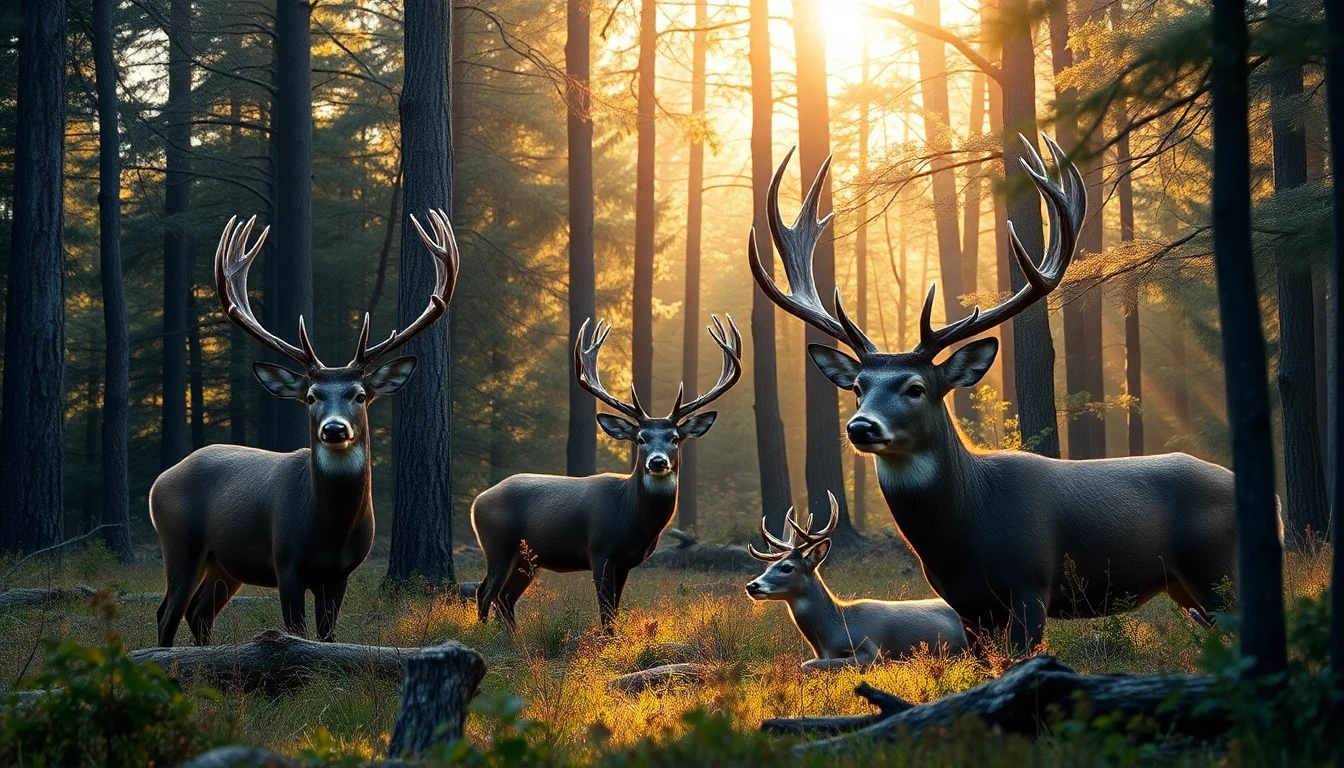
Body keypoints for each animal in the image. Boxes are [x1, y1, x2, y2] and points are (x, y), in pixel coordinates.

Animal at [149, 211, 459, 647]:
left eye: (360, 395)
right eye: (311, 396)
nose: (334, 429)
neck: (329, 529)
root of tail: (159, 481)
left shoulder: (340, 573)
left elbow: (328, 636)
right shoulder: (287, 562)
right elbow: (295, 632)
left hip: (223, 564)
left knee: (199, 612)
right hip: (180, 543)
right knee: (168, 613)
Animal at [470, 316, 742, 630]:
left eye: (675, 438)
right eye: (640, 439)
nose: (657, 462)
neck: (633, 517)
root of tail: (477, 502)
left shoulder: (625, 561)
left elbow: (614, 609)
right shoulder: (600, 550)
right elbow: (605, 611)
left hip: (528, 558)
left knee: (505, 597)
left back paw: (511, 636)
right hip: (498, 545)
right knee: (485, 591)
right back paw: (485, 633)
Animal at [746, 492, 968, 671]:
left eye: (787, 567)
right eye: (766, 567)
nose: (752, 586)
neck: (833, 630)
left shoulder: (870, 647)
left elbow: (807, 664)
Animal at [750, 136, 1258, 655]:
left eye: (916, 387)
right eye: (857, 389)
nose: (861, 427)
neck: (966, 528)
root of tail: (1271, 504)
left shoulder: (1030, 581)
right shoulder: (964, 605)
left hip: (1219, 571)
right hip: (1186, 587)